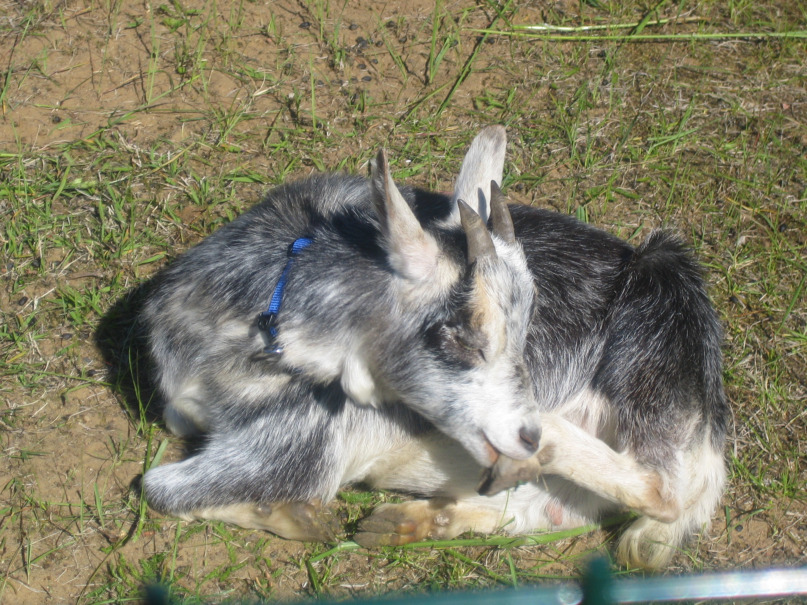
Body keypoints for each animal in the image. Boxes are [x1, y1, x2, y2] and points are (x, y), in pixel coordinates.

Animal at [141, 126, 728, 570]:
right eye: (461, 336)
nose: (526, 430)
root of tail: (712, 429)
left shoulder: (297, 449)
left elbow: (158, 487)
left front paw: (291, 514)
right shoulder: (186, 404)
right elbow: (171, 434)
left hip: (653, 346)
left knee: (659, 489)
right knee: (541, 512)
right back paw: (414, 520)